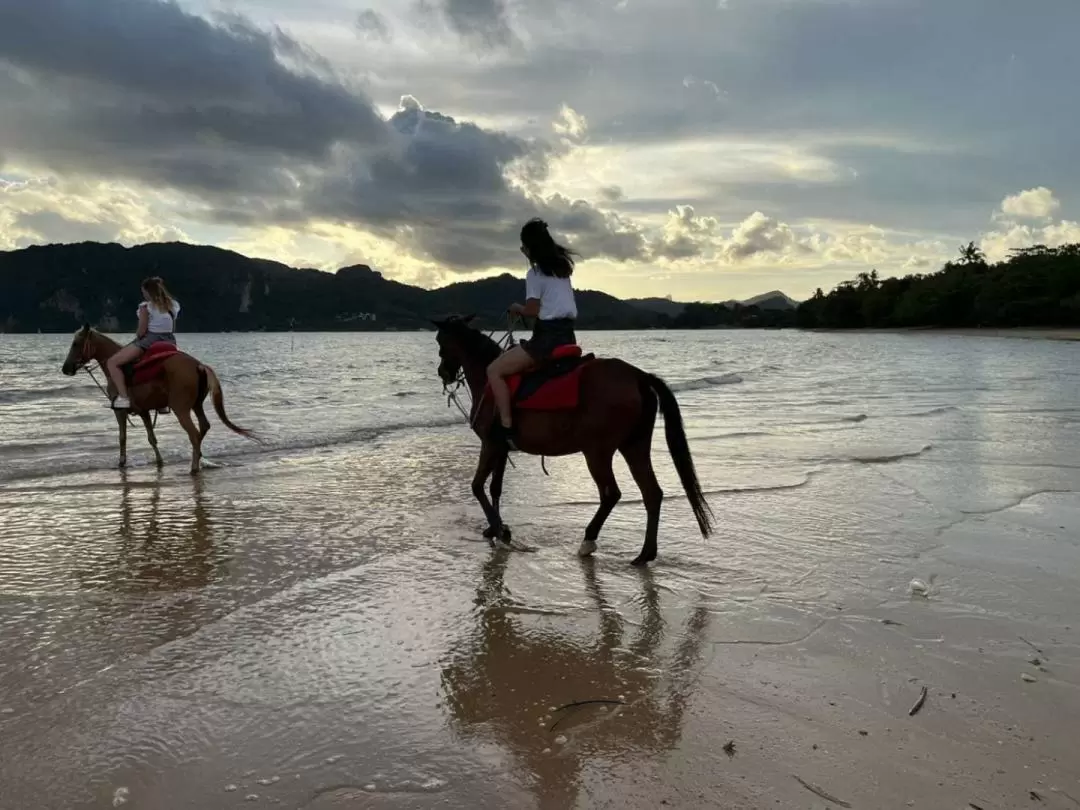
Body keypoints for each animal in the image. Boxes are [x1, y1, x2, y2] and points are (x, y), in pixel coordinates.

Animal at [61, 326, 259, 475]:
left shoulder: (120, 411)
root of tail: (199, 365)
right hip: (196, 406)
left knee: (194, 433)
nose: (65, 368)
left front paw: (122, 462)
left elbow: (122, 437)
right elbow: (152, 438)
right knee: (204, 427)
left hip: (181, 409)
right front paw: (159, 461)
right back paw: (199, 457)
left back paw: (194, 467)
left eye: (76, 343)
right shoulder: (144, 411)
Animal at [429, 313, 717, 565]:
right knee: (652, 493)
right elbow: (495, 488)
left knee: (611, 494)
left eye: (440, 341)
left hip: (597, 452)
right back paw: (645, 554)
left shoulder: (490, 444)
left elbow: (477, 486)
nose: (444, 372)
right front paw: (496, 528)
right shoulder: (501, 448)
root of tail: (637, 376)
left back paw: (589, 540)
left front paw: (501, 531)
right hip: (634, 445)